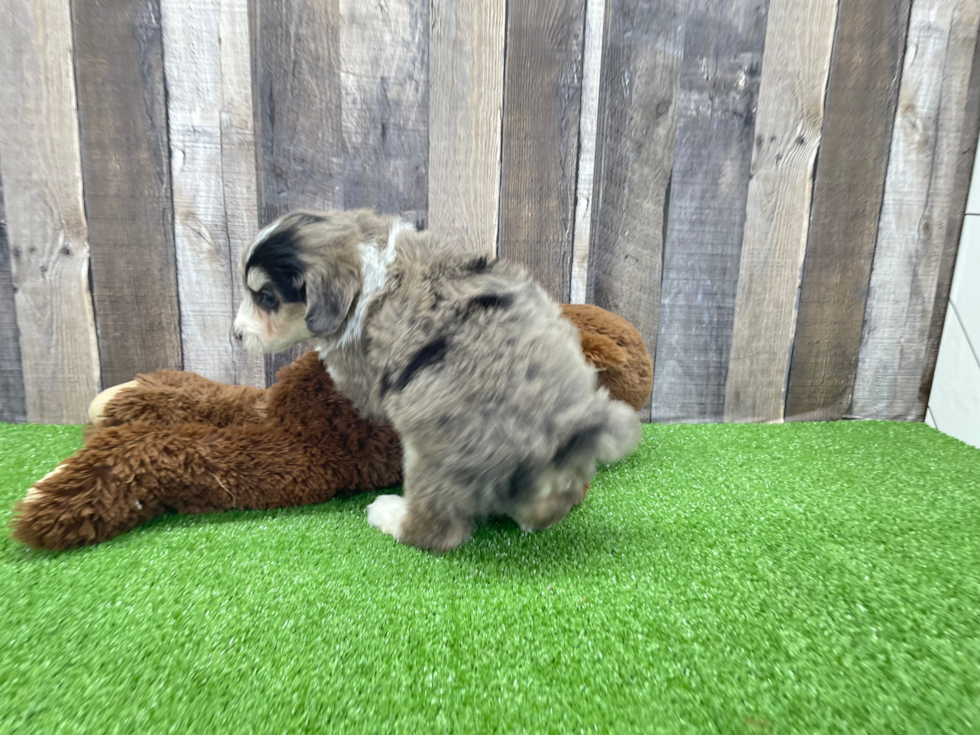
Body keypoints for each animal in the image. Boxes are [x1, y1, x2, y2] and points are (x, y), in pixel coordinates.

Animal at [233, 210, 640, 548]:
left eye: (266, 297)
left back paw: (390, 515)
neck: (365, 262)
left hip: (430, 457)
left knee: (438, 531)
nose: (234, 335)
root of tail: (561, 437)